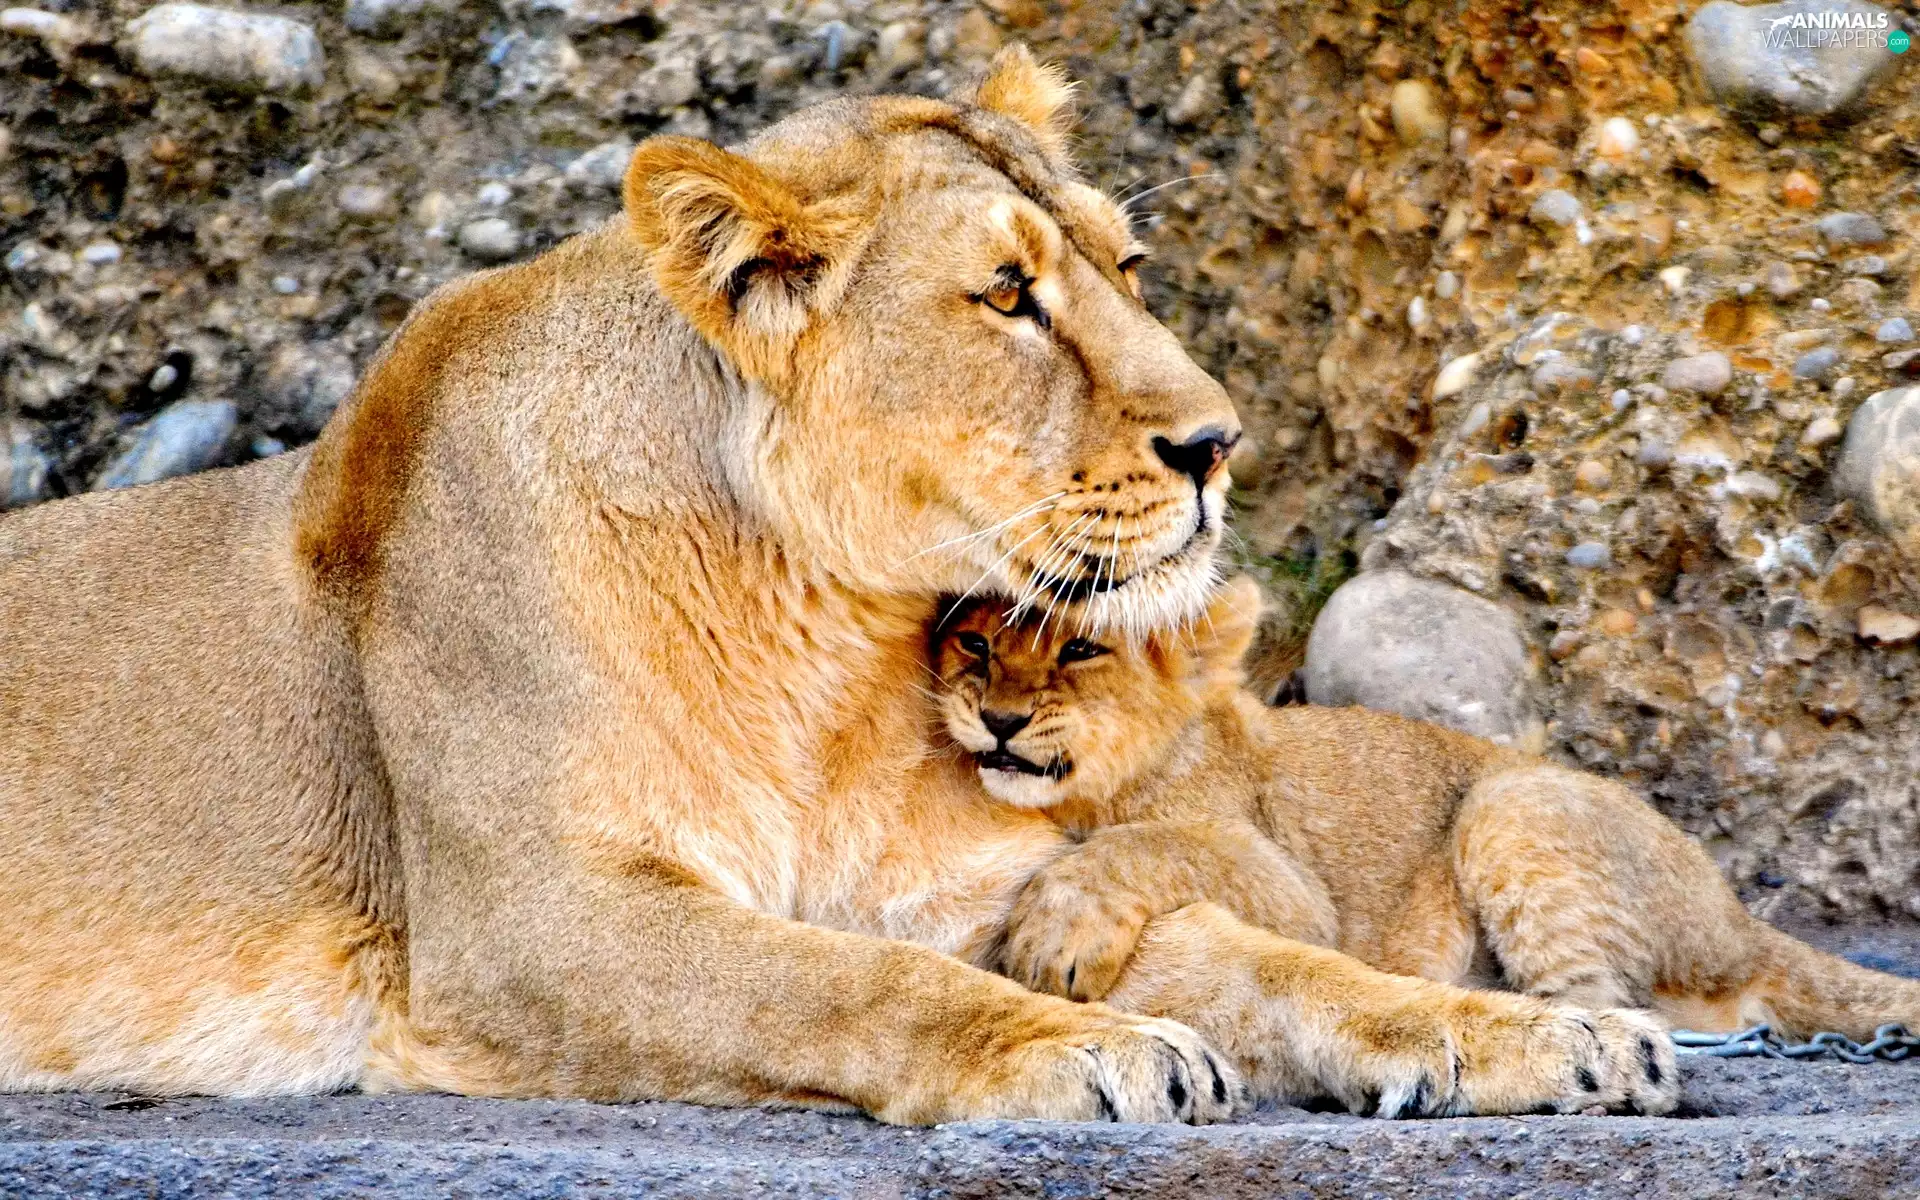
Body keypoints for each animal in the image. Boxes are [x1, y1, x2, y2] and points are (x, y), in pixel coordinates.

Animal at [2, 48, 1672, 1123]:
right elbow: (840, 985)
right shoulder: (529, 926)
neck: (825, 646)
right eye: (1008, 295)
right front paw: (1077, 1053)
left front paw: (1548, 1032)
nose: (1219, 443)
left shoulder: (988, 894)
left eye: (1127, 266)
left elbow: (1278, 962)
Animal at [932, 575, 1920, 1063]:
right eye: (974, 641)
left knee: (1613, 1003)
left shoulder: (1297, 895)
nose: (1001, 721)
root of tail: (1739, 921)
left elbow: (1153, 842)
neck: (1084, 793)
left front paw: (1058, 931)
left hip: (1511, 802)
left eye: (1080, 648)